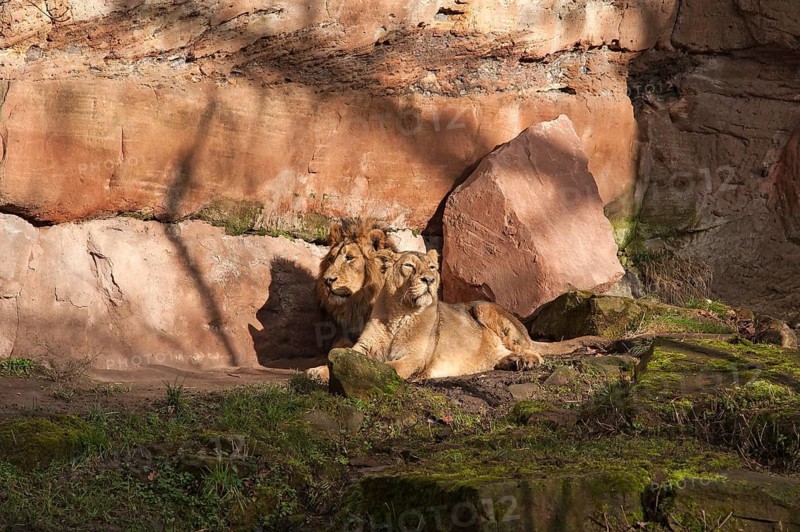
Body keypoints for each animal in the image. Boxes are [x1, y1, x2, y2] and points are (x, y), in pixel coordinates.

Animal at [352, 250, 543, 380]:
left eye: (432, 267)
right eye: (409, 266)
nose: (429, 279)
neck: (400, 314)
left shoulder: (415, 358)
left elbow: (388, 366)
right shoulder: (363, 346)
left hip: (483, 307)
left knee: (533, 350)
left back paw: (526, 361)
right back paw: (511, 360)